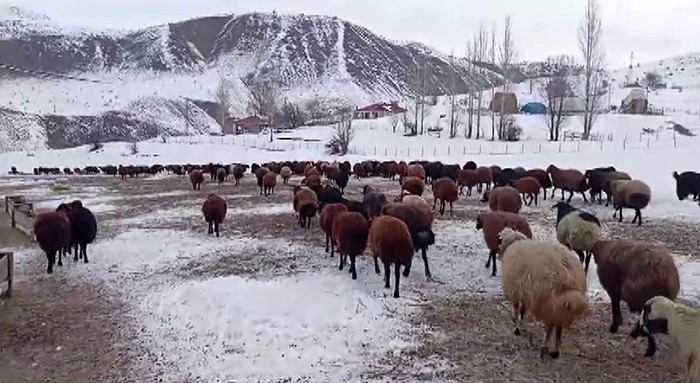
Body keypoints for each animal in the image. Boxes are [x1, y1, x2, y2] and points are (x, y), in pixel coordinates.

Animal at [498, 228, 592, 360]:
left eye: (502, 240)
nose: (498, 252)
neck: (514, 242)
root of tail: (568, 277)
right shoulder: (526, 293)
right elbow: (522, 310)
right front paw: (521, 324)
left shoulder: (517, 290)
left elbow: (517, 309)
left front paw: (517, 327)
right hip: (558, 304)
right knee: (559, 326)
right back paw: (556, 350)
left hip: (547, 300)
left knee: (550, 326)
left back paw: (545, 346)